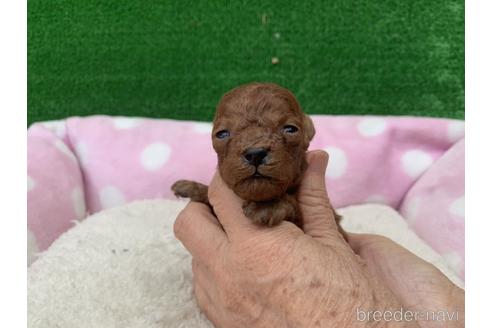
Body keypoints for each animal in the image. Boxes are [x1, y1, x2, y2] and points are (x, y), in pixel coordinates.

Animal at [171, 82, 340, 231]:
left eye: (290, 129)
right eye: (222, 134)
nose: (255, 154)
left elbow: (296, 207)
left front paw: (267, 206)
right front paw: (193, 187)